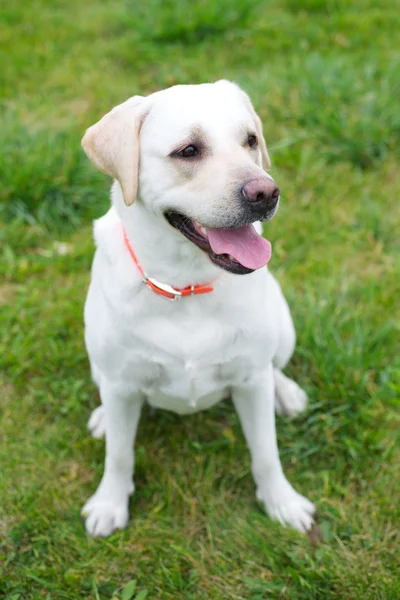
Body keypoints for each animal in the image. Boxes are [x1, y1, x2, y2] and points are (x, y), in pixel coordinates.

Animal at [79, 81, 314, 540]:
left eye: (250, 140)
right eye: (188, 151)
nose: (266, 193)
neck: (185, 286)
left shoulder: (250, 381)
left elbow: (267, 452)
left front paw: (282, 502)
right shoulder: (121, 384)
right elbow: (119, 454)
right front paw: (109, 503)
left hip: (283, 327)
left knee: (274, 368)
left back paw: (286, 393)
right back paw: (100, 418)